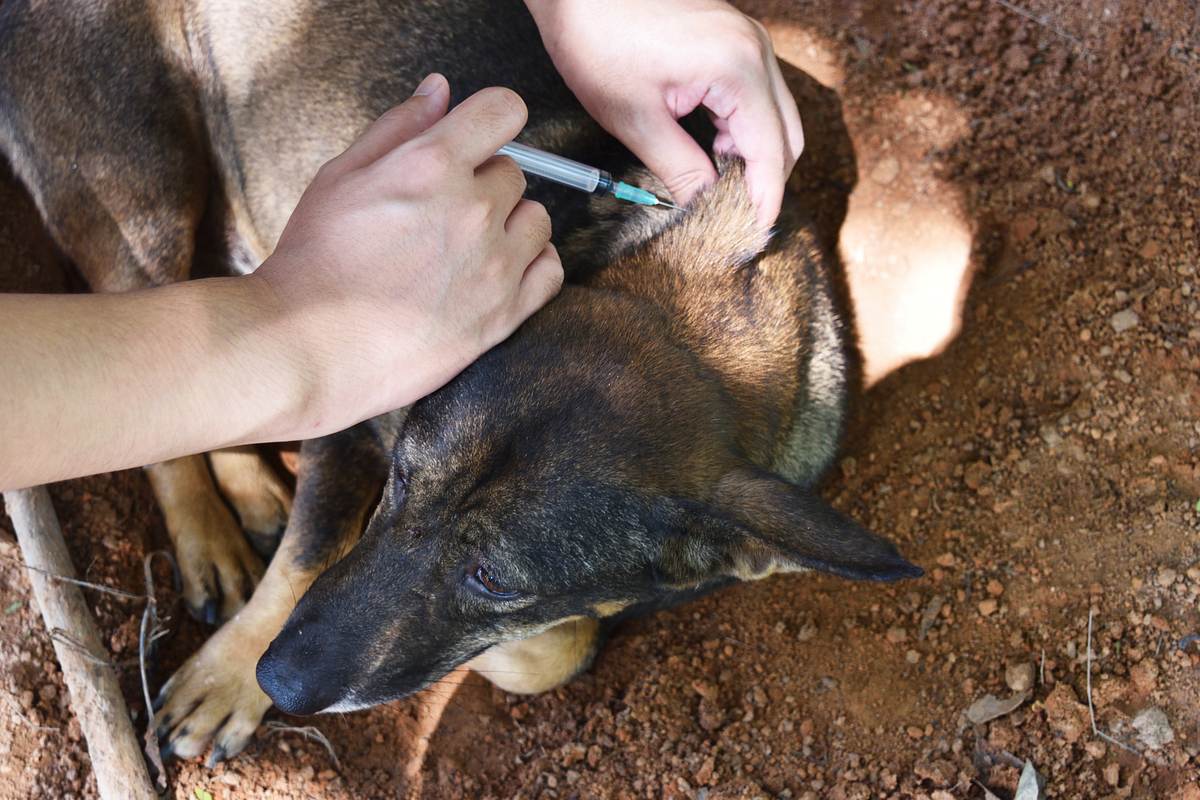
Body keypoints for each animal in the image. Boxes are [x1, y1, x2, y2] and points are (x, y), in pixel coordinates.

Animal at [0, 0, 916, 767]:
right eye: (402, 478)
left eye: (493, 581)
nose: (278, 681)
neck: (698, 333)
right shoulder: (353, 401)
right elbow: (309, 550)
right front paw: (228, 676)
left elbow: (558, 649)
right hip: (141, 191)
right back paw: (210, 537)